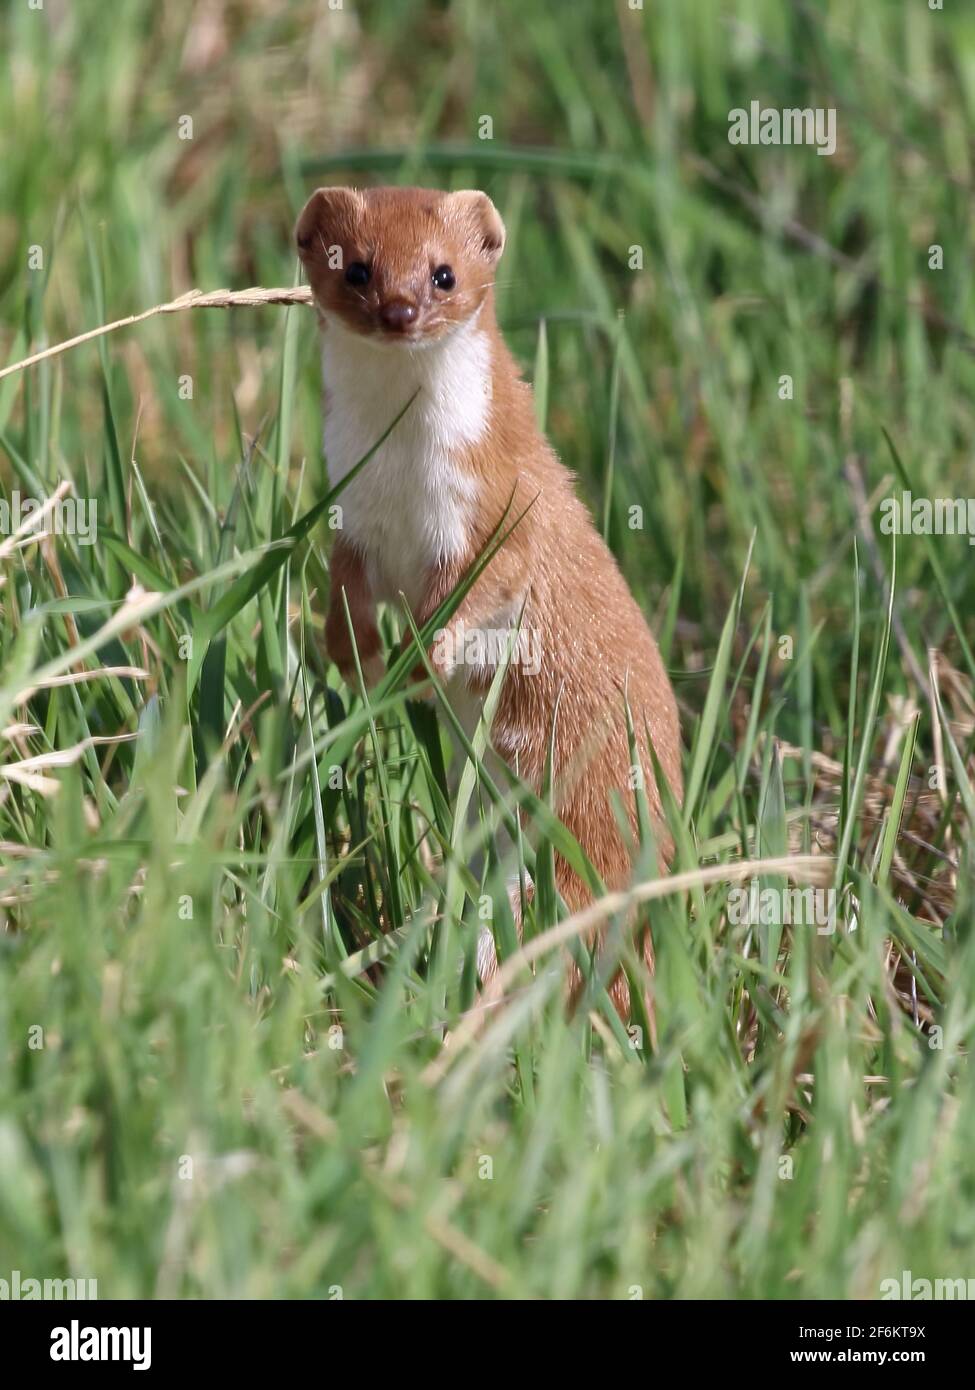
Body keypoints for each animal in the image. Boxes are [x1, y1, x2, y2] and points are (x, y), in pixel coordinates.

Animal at [293, 184, 681, 1017]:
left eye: (443, 273)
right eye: (355, 266)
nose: (400, 310)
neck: (403, 482)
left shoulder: (498, 510)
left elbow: (488, 585)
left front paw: (422, 658)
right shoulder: (353, 523)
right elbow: (343, 592)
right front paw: (353, 655)